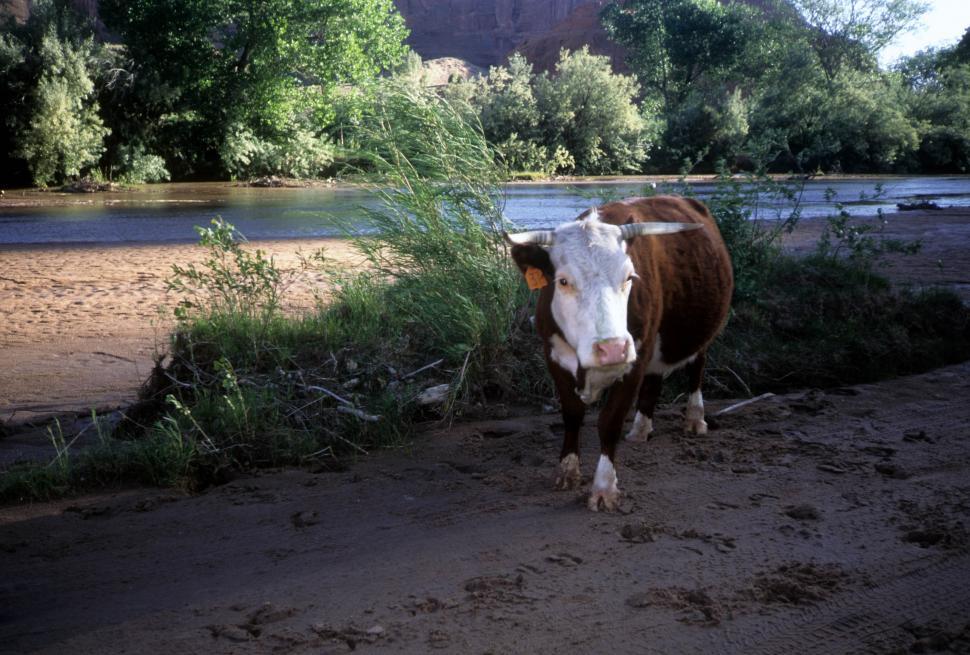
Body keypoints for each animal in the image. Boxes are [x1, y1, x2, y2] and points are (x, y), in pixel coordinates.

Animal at [507, 195, 733, 511]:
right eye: (563, 281)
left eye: (629, 277)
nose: (612, 348)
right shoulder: (553, 356)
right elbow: (572, 415)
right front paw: (567, 471)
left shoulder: (635, 357)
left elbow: (610, 422)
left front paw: (604, 488)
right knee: (654, 380)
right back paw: (640, 429)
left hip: (701, 330)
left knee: (696, 369)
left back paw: (694, 418)